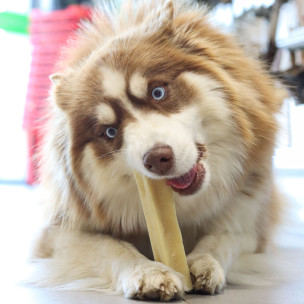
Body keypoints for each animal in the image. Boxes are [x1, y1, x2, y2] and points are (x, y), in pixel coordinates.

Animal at [29, 0, 284, 300]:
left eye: (158, 92)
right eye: (110, 132)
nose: (157, 159)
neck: (184, 206)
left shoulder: (250, 224)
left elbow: (223, 239)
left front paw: (206, 261)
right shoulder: (57, 233)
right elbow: (111, 247)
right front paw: (147, 272)